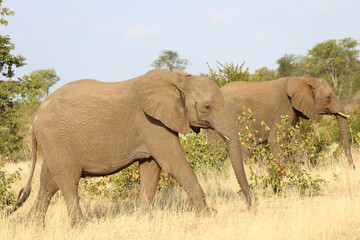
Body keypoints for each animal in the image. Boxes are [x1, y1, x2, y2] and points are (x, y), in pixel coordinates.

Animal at [11, 69, 253, 225]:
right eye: (207, 107)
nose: (251, 207)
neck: (180, 78)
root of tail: (35, 118)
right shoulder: (152, 123)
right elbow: (173, 163)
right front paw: (209, 215)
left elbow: (151, 168)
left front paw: (145, 219)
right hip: (57, 138)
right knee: (67, 179)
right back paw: (80, 226)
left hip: (54, 142)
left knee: (49, 182)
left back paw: (32, 226)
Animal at [207, 76, 356, 169]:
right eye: (328, 97)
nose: (353, 168)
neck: (302, 79)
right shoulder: (285, 107)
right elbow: (274, 139)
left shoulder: (294, 112)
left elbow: (296, 141)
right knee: (245, 147)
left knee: (217, 152)